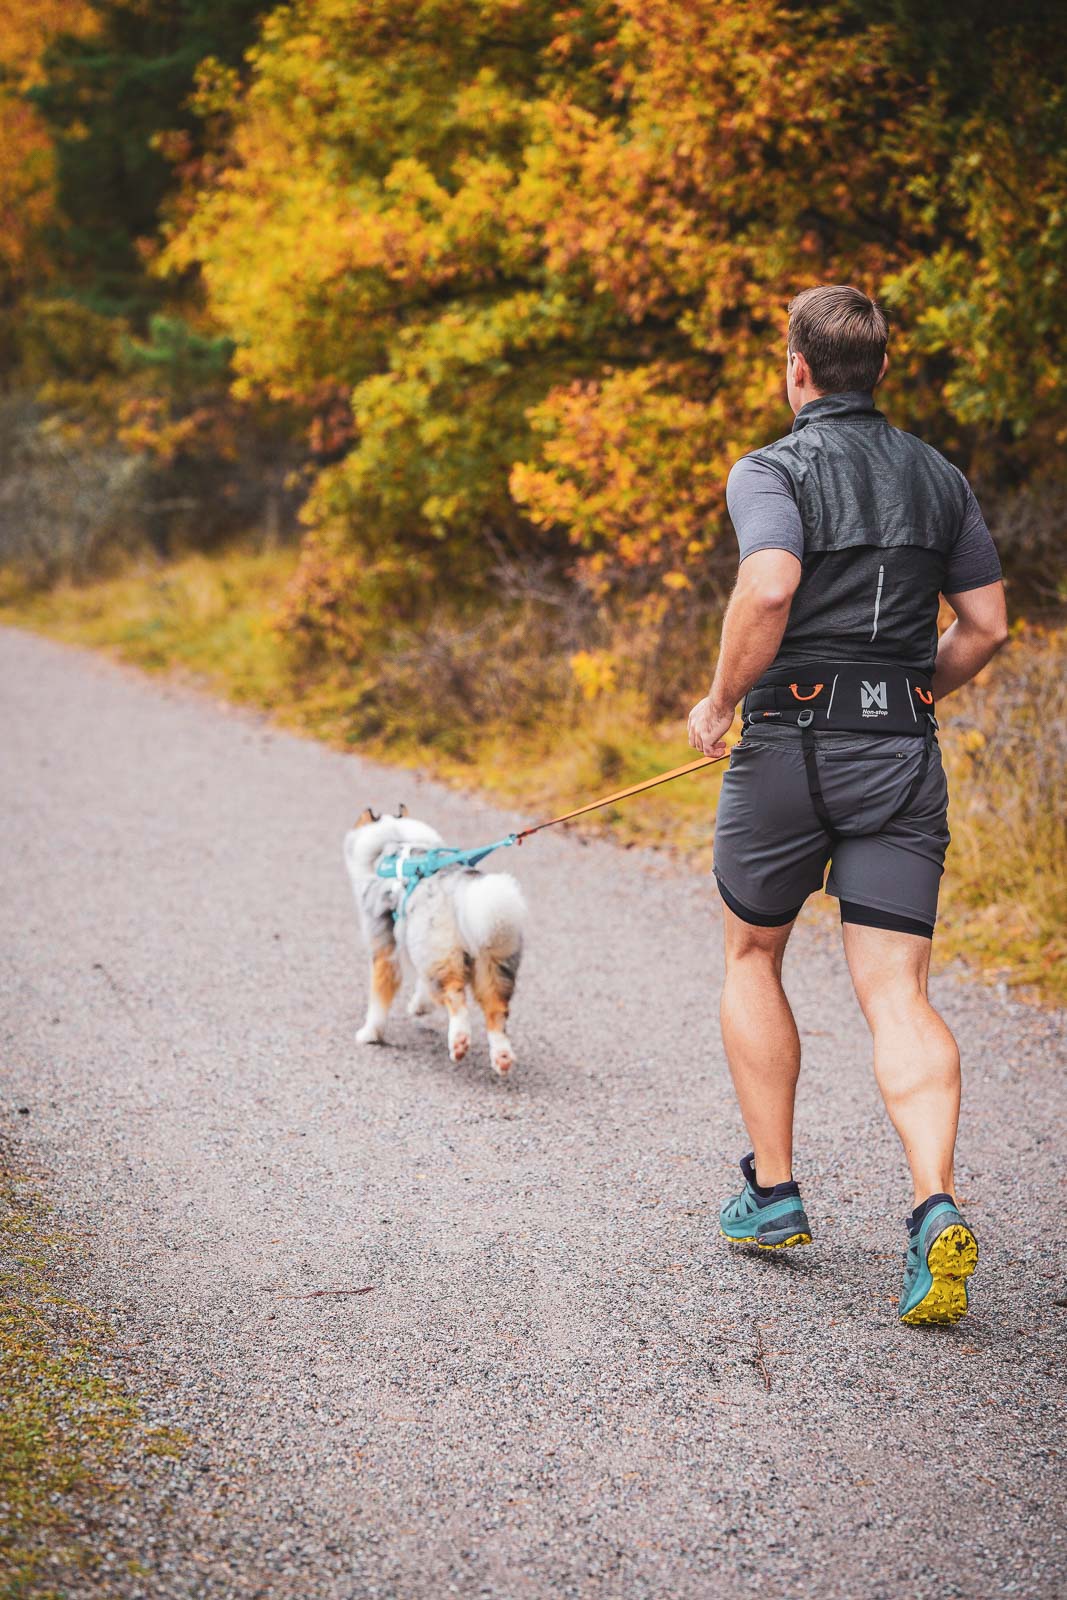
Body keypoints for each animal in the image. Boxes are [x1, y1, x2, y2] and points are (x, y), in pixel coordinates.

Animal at [342, 812, 524, 1075]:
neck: (395, 841)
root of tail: (461, 888)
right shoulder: (413, 941)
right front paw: (420, 1006)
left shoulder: (384, 949)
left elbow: (378, 999)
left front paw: (369, 1035)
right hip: (491, 962)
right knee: (497, 1011)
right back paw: (502, 1057)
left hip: (440, 951)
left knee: (455, 997)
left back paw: (459, 1041)